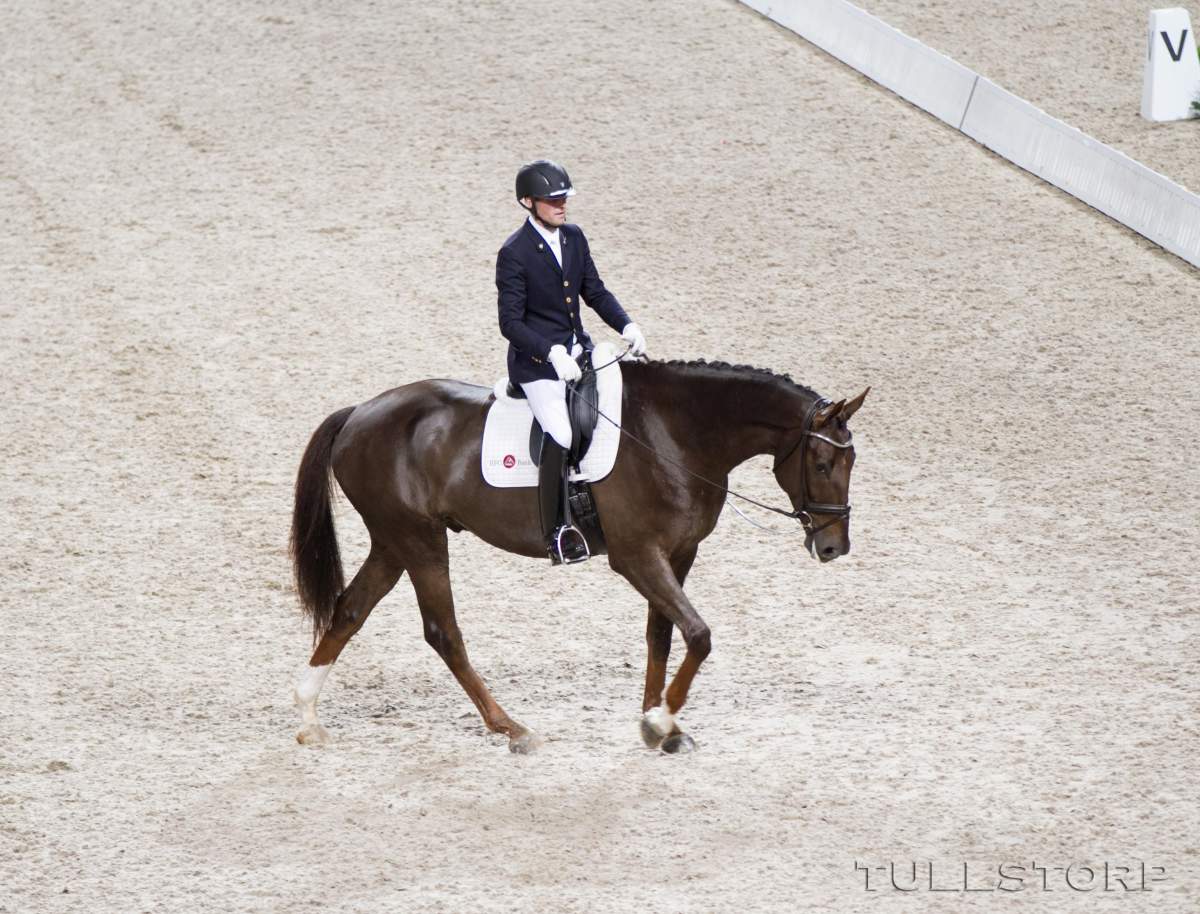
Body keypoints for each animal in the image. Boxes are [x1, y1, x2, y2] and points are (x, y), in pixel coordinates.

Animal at [289, 357, 867, 753]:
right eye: (821, 463)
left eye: (852, 460)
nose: (833, 546)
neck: (674, 433)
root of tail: (358, 414)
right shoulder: (636, 556)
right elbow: (699, 634)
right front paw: (661, 722)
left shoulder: (680, 552)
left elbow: (662, 634)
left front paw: (657, 722)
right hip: (420, 541)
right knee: (442, 632)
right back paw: (511, 727)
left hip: (393, 542)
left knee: (350, 611)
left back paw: (309, 719)